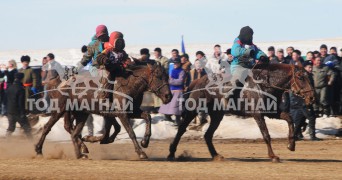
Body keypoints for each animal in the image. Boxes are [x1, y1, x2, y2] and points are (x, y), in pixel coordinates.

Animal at [36, 62, 172, 159]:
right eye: (158, 76)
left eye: (167, 76)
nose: (168, 96)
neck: (129, 85)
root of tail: (58, 83)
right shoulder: (122, 114)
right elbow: (130, 132)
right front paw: (141, 152)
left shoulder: (131, 112)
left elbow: (147, 116)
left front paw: (145, 142)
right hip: (60, 110)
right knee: (48, 127)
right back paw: (38, 149)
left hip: (80, 114)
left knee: (72, 131)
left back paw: (81, 151)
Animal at [168, 64, 316, 162]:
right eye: (300, 77)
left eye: (308, 76)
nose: (312, 97)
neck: (263, 85)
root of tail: (197, 81)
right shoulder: (258, 114)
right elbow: (266, 135)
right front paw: (273, 156)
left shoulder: (272, 112)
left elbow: (290, 119)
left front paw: (291, 145)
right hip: (193, 110)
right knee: (182, 128)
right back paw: (171, 153)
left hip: (217, 115)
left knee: (208, 135)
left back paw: (216, 155)